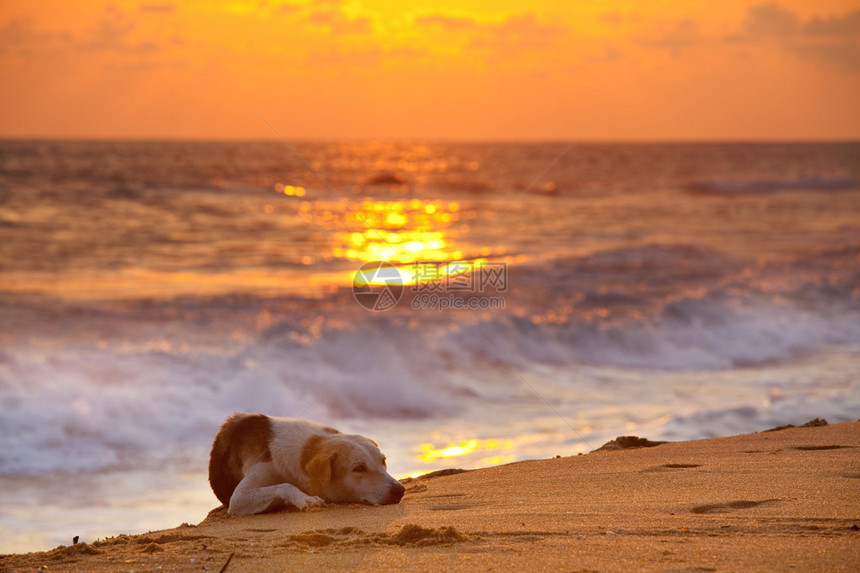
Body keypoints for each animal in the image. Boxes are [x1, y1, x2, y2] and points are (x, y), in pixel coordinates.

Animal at [210, 412, 408, 512]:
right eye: (359, 468)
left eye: (383, 461)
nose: (400, 490)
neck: (307, 448)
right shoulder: (239, 498)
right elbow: (285, 485)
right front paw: (305, 499)